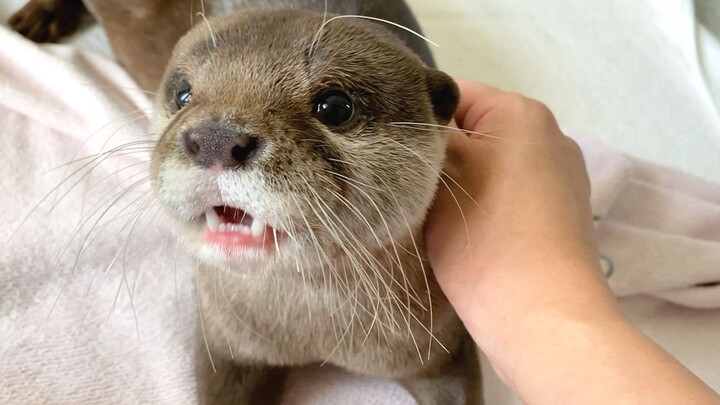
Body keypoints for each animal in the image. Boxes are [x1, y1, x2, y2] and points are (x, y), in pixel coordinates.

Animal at [10, 1, 481, 404]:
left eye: (335, 106)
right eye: (183, 94)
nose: (216, 137)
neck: (310, 334)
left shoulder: (443, 344)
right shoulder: (222, 340)